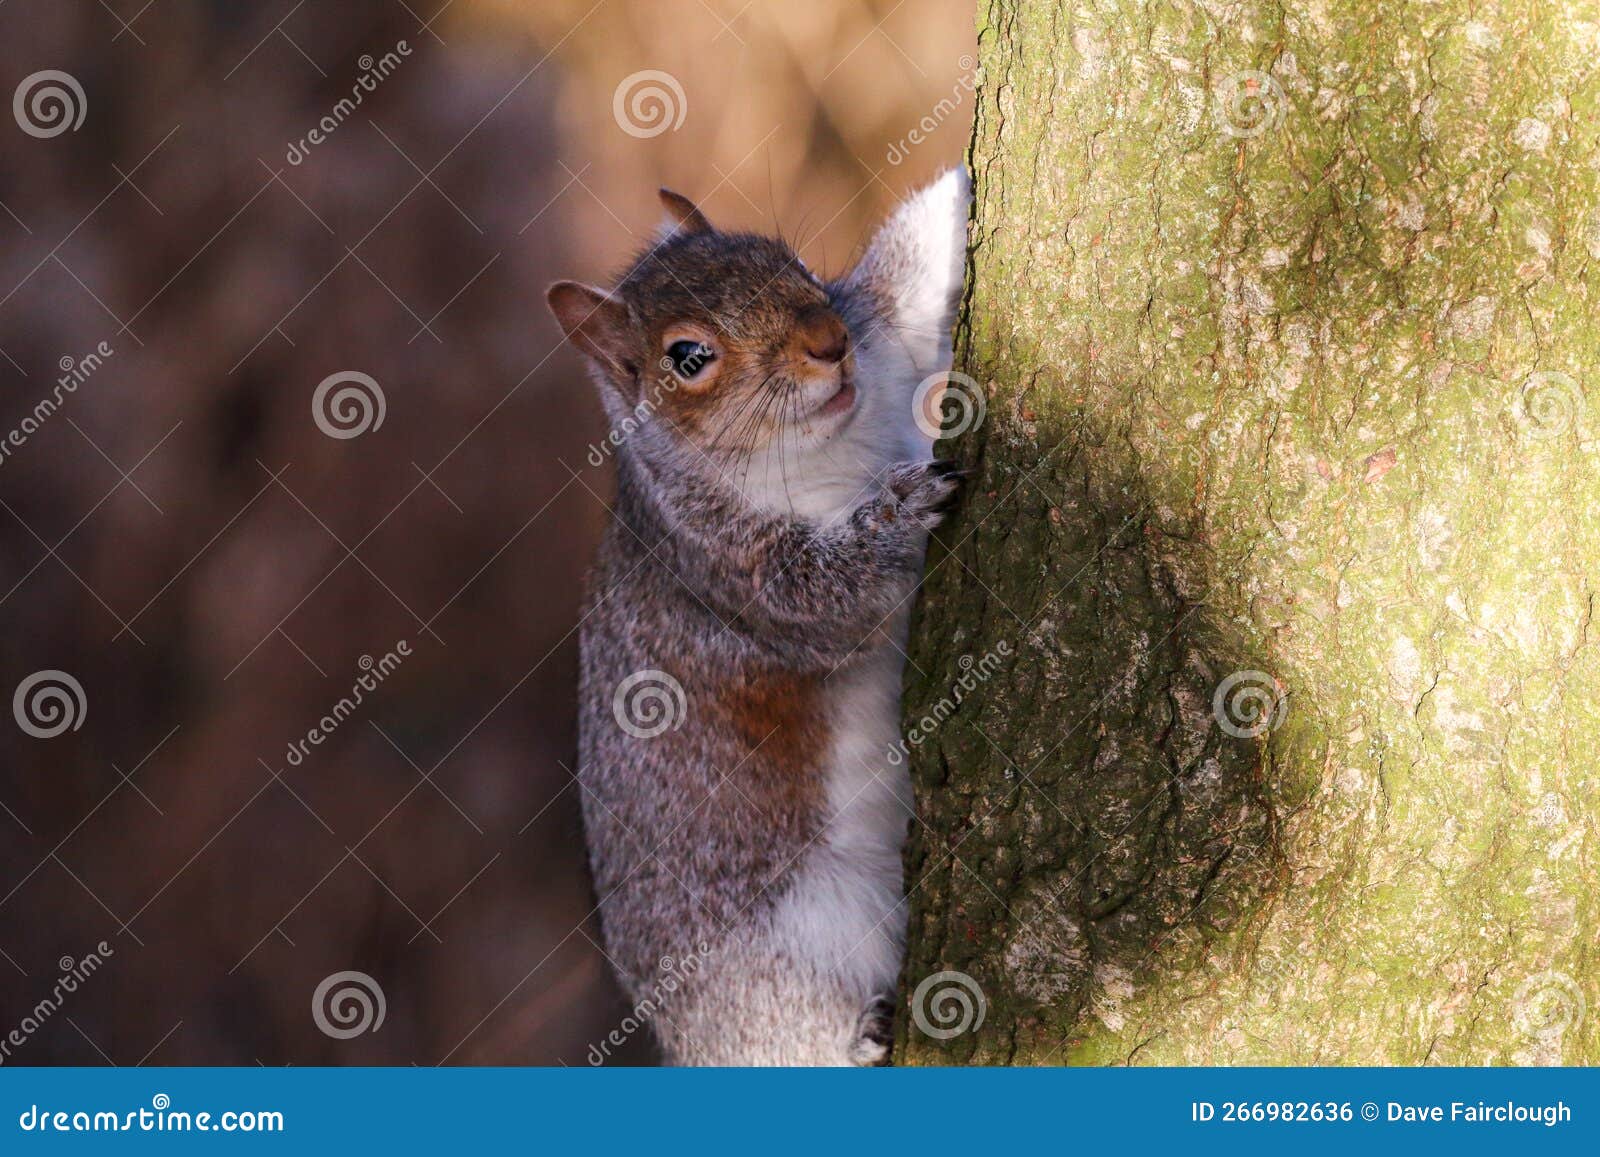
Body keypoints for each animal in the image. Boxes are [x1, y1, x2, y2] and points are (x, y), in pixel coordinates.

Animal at [550, 167, 966, 1062]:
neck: (821, 446)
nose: (827, 341)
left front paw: (957, 184)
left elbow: (904, 285)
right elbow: (828, 594)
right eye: (688, 357)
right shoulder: (729, 568)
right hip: (778, 971)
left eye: (787, 260)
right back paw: (863, 1037)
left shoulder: (884, 351)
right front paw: (899, 511)